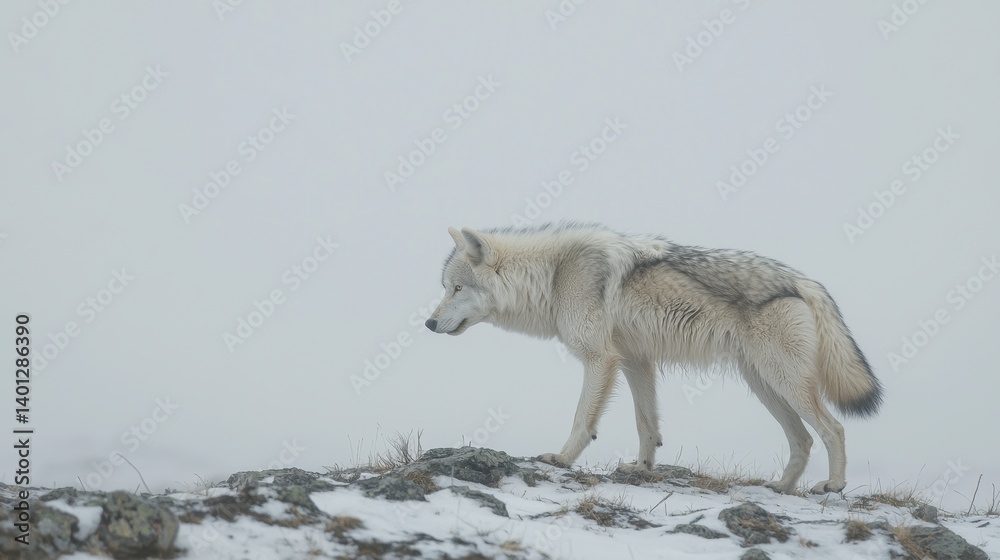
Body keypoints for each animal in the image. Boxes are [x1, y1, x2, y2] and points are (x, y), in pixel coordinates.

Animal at [425, 222, 882, 494]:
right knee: (803, 439)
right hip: (765, 386)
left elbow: (582, 420)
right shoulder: (635, 361)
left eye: (456, 288)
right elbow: (647, 424)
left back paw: (833, 486)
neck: (553, 276)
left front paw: (561, 459)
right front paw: (642, 469)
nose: (428, 324)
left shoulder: (601, 359)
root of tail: (806, 282)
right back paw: (780, 488)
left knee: (834, 428)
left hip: (784, 383)